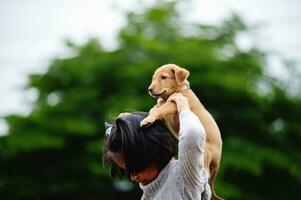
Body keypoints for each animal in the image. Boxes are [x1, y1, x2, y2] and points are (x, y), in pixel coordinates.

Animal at [141, 63, 223, 200]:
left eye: (163, 77)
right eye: (153, 78)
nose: (149, 89)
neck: (178, 91)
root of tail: (218, 159)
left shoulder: (173, 104)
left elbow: (159, 109)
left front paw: (147, 120)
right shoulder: (164, 112)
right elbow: (155, 109)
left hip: (205, 154)